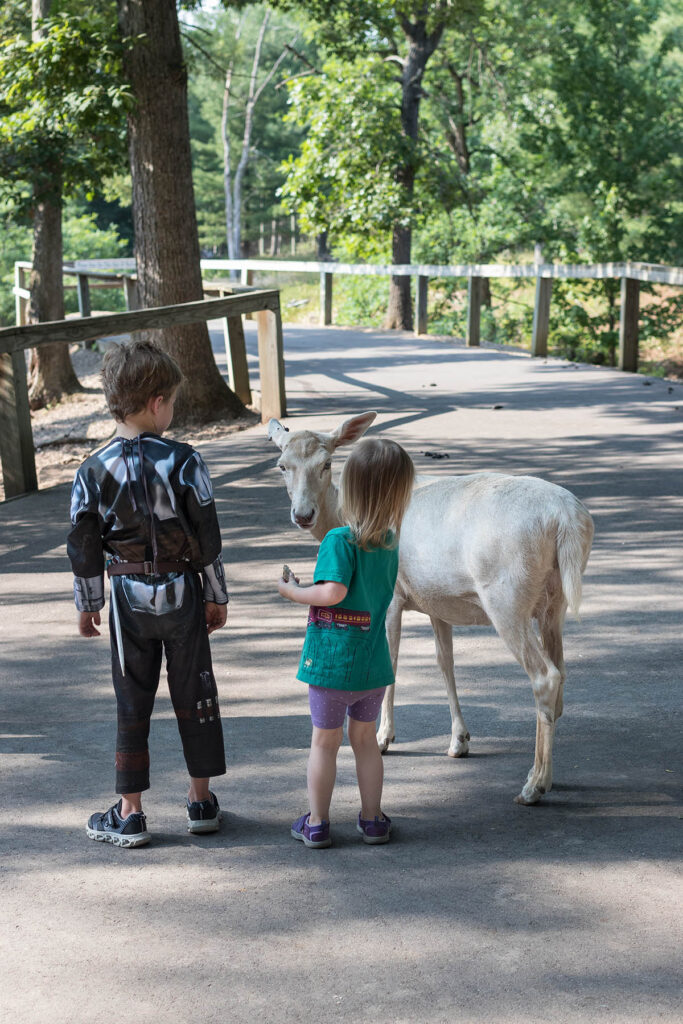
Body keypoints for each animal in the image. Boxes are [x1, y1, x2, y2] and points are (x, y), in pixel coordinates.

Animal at [266, 411, 593, 802]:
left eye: (326, 463)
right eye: (282, 465)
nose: (303, 514)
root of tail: (568, 519)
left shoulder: (391, 595)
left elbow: (390, 661)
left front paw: (383, 737)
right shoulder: (438, 601)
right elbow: (444, 662)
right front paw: (459, 741)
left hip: (506, 595)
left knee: (546, 676)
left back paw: (533, 786)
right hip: (554, 601)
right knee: (561, 674)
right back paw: (547, 775)